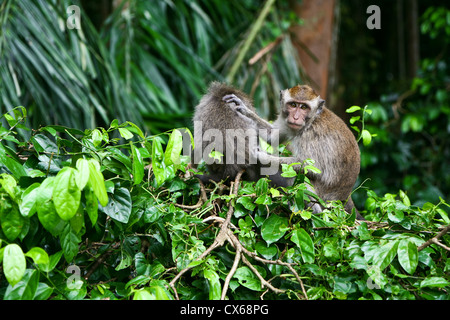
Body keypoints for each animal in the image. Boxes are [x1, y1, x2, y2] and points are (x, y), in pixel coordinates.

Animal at [224, 84, 362, 218]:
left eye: (304, 107)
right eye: (293, 105)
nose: (295, 117)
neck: (310, 121)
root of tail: (344, 197)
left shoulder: (311, 136)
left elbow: (312, 168)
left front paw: (261, 156)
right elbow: (272, 135)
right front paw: (243, 109)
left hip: (324, 199)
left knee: (296, 175)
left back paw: (314, 211)